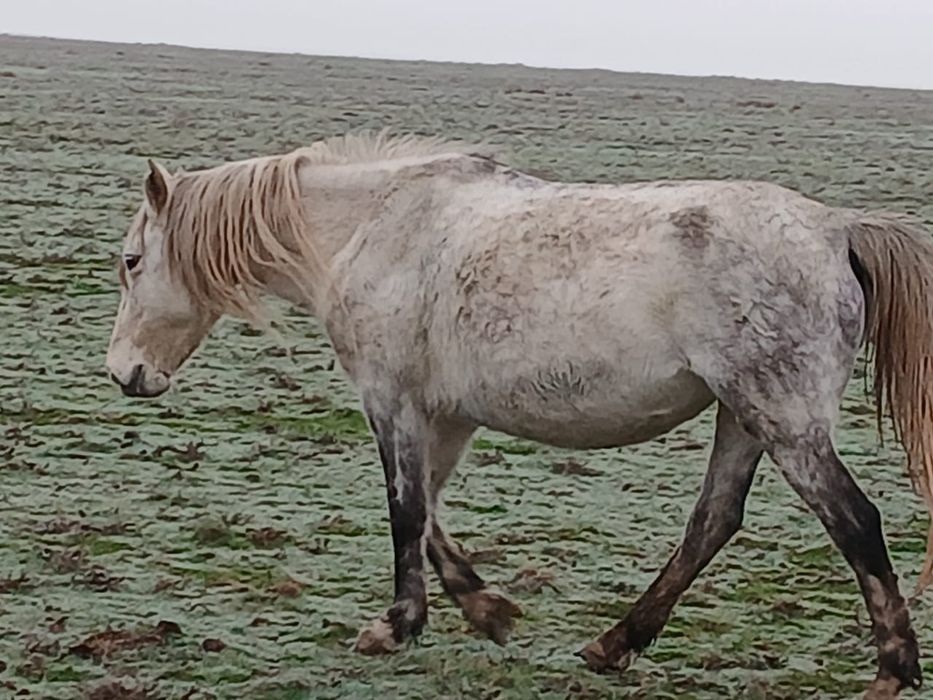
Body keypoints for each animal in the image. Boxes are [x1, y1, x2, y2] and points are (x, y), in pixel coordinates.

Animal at [105, 132, 933, 698]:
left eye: (131, 261)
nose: (124, 374)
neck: (374, 227)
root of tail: (834, 229)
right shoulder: (443, 415)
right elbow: (430, 514)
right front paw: (486, 610)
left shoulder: (389, 399)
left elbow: (405, 511)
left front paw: (396, 625)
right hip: (742, 415)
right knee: (712, 522)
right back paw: (614, 643)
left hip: (782, 417)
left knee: (853, 522)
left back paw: (891, 671)